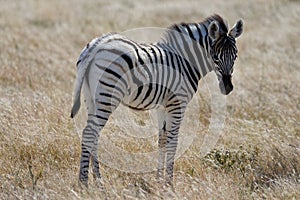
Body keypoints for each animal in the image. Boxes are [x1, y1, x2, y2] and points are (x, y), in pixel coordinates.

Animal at [71, 14, 244, 188]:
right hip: (107, 95)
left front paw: (159, 180)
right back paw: (83, 183)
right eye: (215, 57)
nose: (227, 87)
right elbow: (173, 142)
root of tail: (96, 46)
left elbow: (162, 141)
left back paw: (98, 180)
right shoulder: (177, 103)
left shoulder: (162, 107)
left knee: (93, 135)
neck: (185, 60)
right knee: (89, 133)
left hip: (91, 99)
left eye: (235, 56)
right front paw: (169, 183)